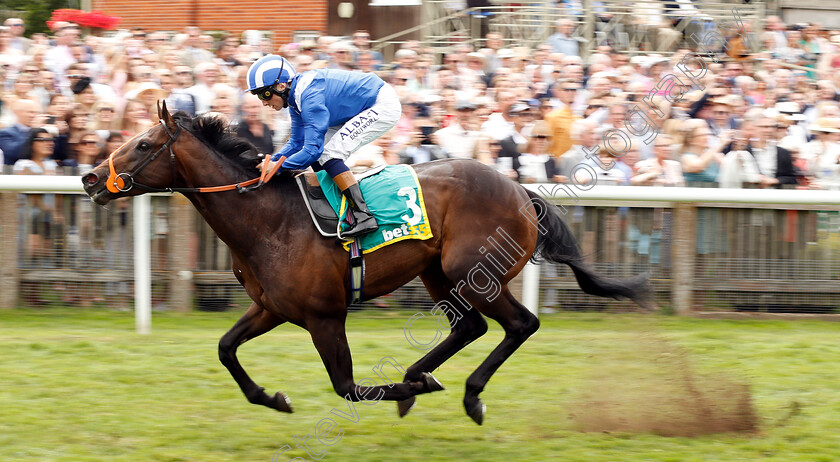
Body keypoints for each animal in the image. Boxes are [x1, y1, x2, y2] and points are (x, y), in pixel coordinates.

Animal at [82, 103, 648, 424]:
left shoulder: (324, 317)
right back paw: (424, 375)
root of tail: (520, 191)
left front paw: (408, 390)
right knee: (470, 328)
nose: (89, 178)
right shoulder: (272, 308)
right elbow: (225, 348)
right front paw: (274, 398)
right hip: (437, 273)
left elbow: (348, 388)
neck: (269, 220)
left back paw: (465, 394)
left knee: (519, 324)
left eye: (144, 143)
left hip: (475, 273)